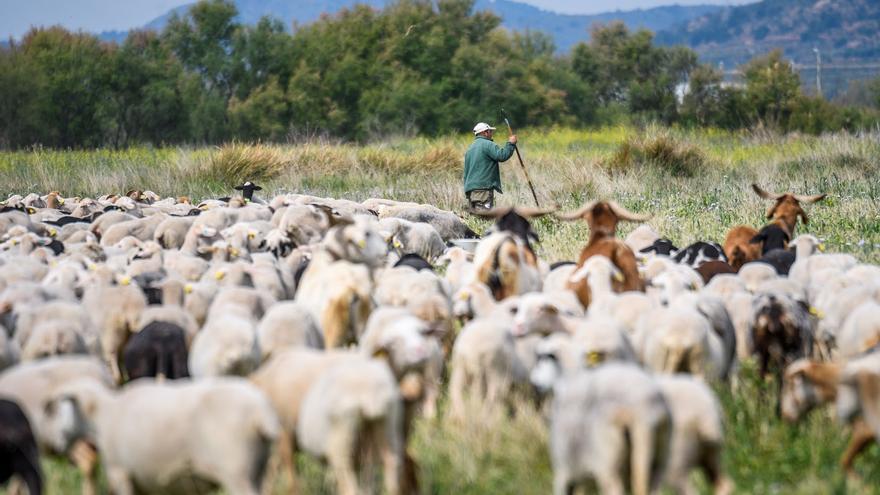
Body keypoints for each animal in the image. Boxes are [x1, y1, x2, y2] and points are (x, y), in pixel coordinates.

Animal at [42, 377, 279, 495]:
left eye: (59, 409)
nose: (57, 445)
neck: (103, 414)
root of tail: (261, 411)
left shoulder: (121, 473)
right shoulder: (147, 481)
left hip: (236, 470)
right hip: (258, 469)